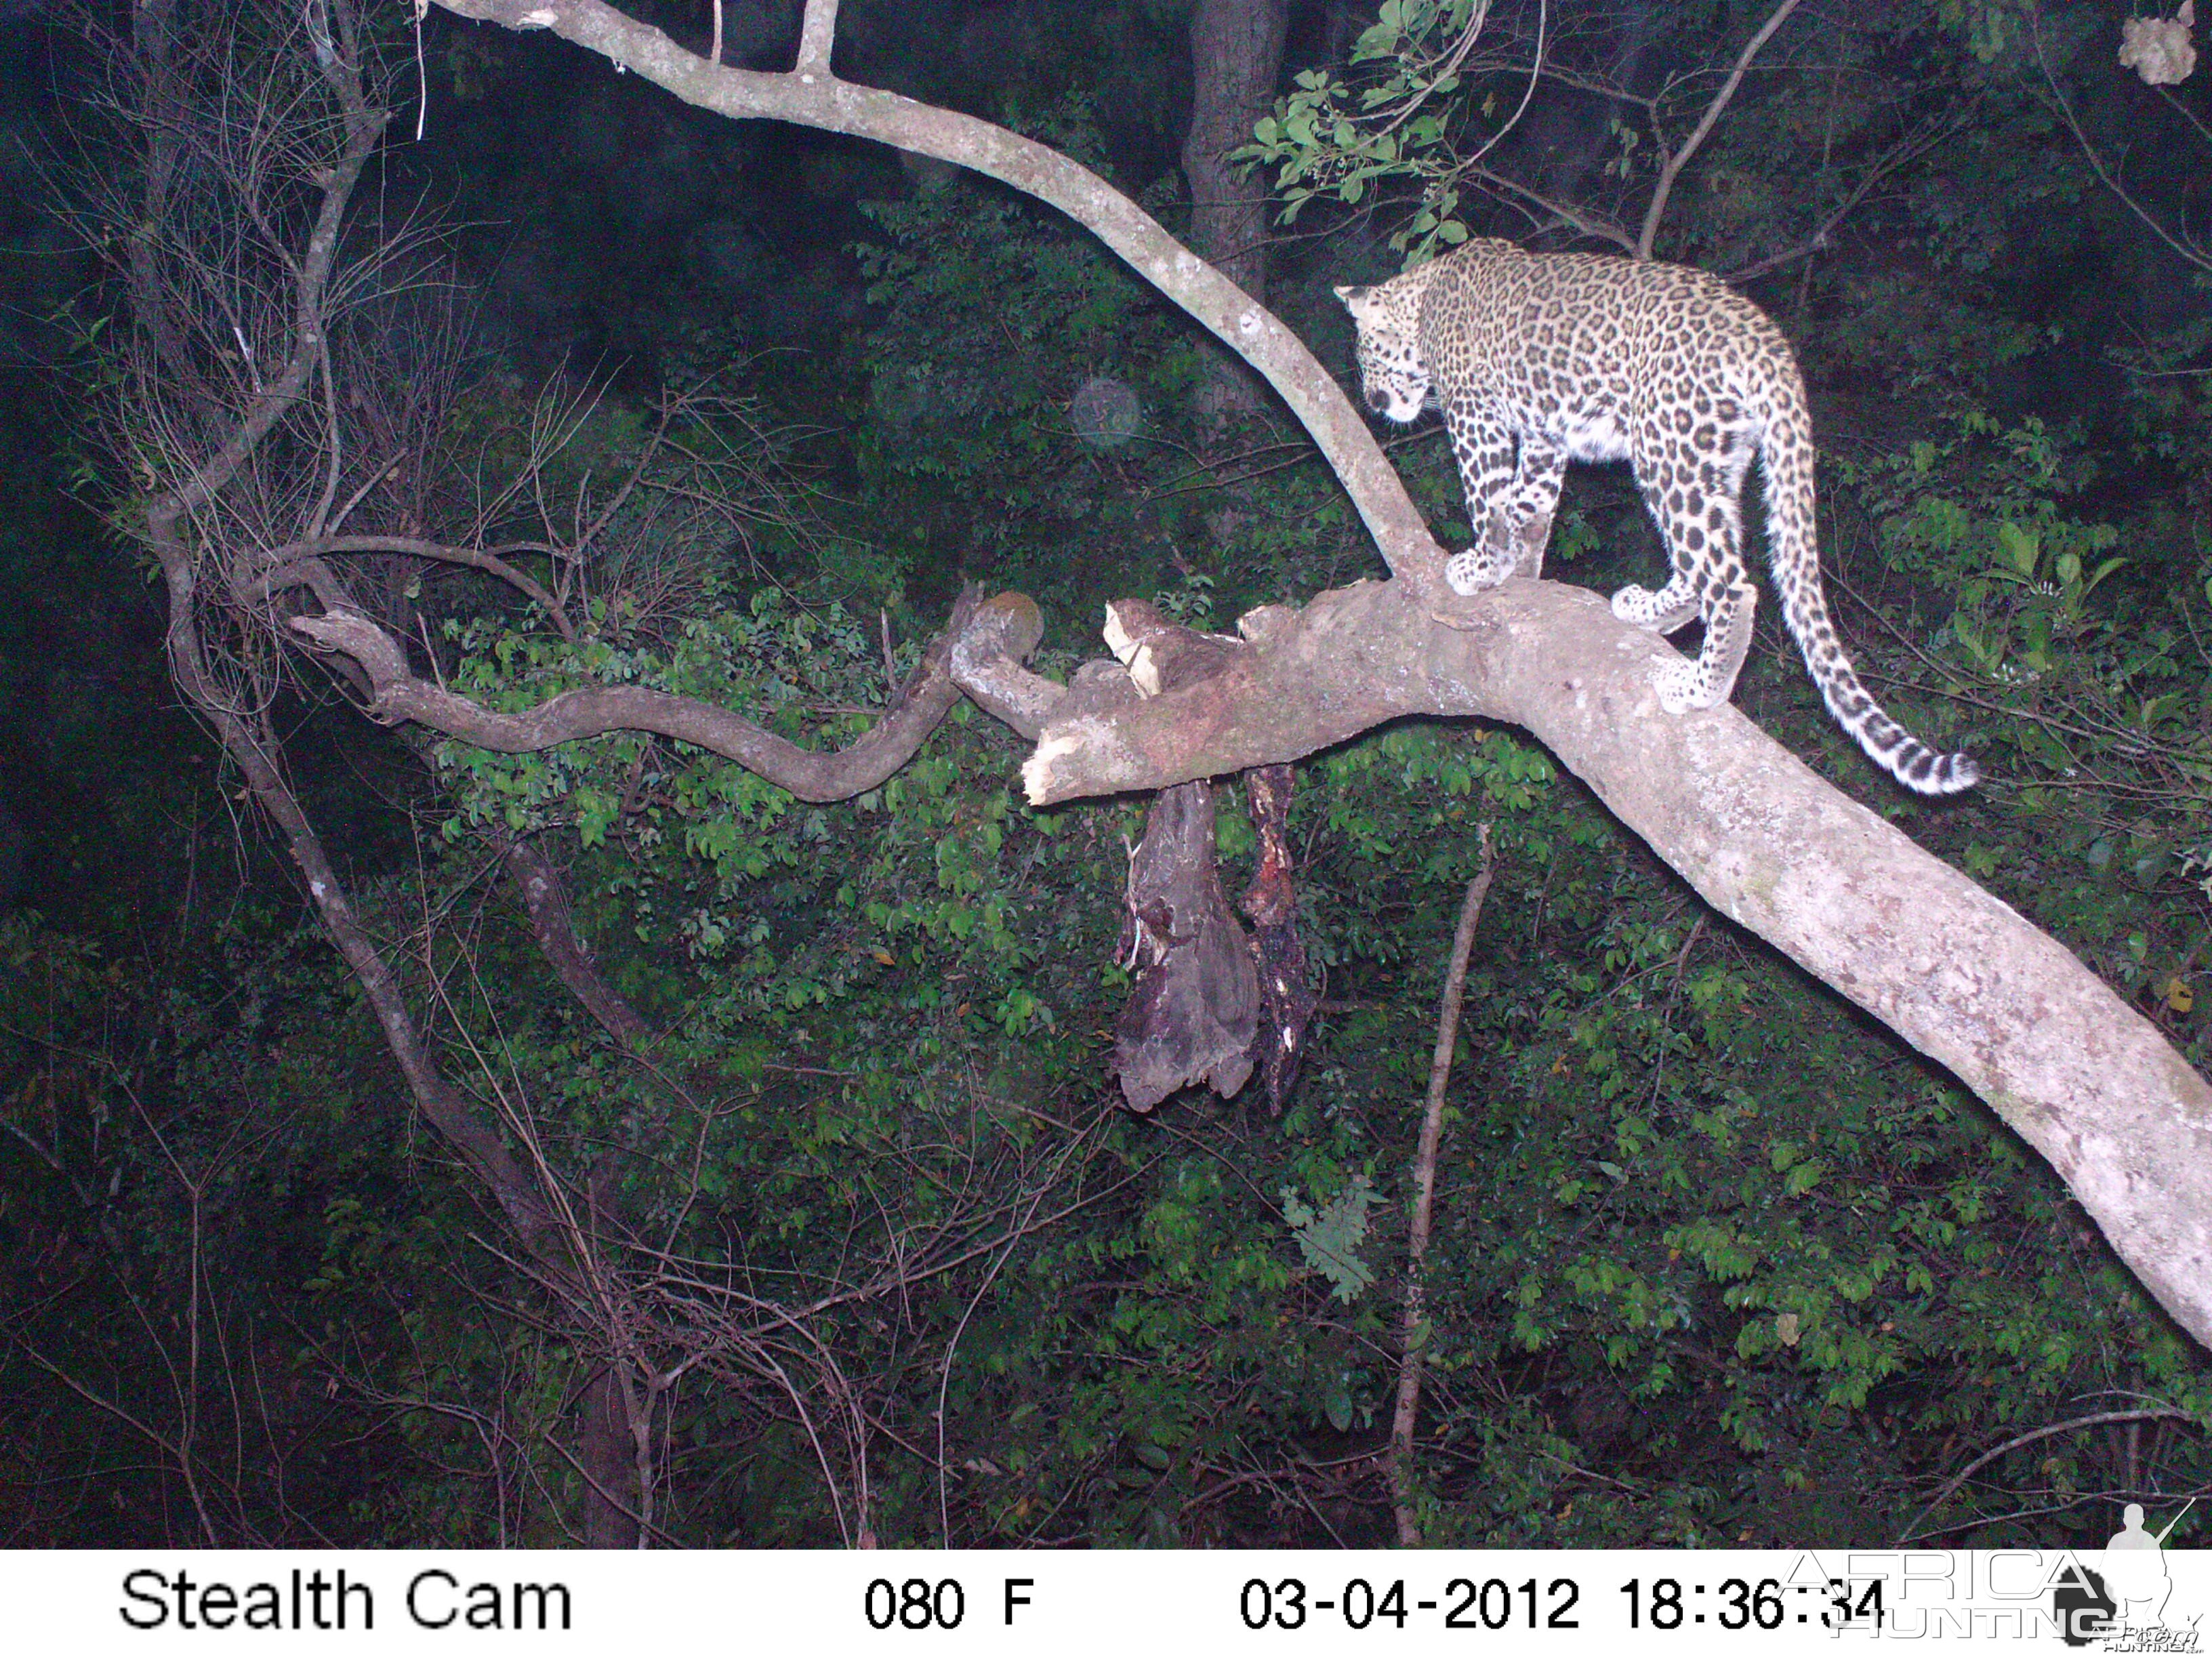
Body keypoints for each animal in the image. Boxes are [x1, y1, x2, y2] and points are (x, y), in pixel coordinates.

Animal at [1336, 239, 1982, 800]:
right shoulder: (1545, 436)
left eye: (1365, 356)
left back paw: (1699, 687)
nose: (1372, 401)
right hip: (1716, 460)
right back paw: (1648, 611)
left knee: (1731, 584)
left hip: (1666, 449)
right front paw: (1519, 565)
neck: (1423, 300)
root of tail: (1765, 336)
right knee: (1703, 570)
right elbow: (1531, 501)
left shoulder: (1476, 415)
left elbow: (1487, 494)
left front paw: (1483, 564)